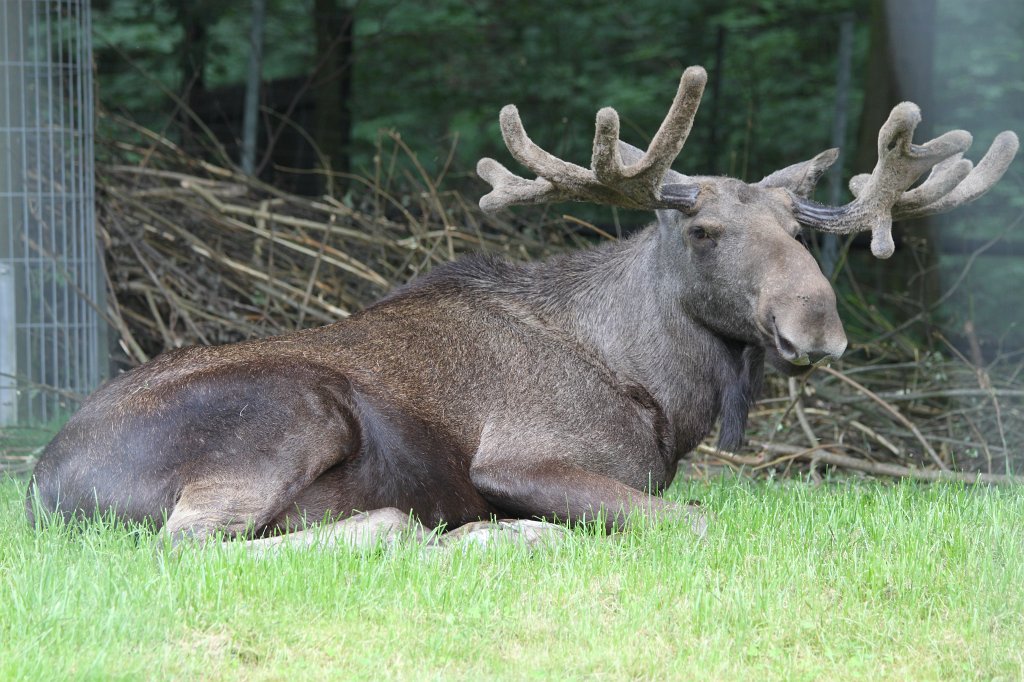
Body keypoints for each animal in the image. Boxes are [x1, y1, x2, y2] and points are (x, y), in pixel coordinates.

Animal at [27, 66, 1018, 551]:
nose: (817, 329)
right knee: (191, 543)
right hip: (293, 409)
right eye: (701, 229)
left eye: (801, 232)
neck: (666, 397)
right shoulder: (522, 455)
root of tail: (44, 486)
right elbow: (691, 521)